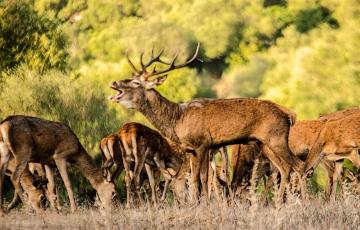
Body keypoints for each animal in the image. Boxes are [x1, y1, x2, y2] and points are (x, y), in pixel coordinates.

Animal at [108, 43, 302, 201]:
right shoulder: (193, 149)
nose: (114, 82)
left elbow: (198, 179)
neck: (177, 120)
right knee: (284, 168)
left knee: (297, 165)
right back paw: (279, 202)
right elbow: (199, 179)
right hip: (264, 143)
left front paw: (199, 204)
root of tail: (289, 116)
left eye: (135, 83)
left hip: (276, 138)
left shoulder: (201, 144)